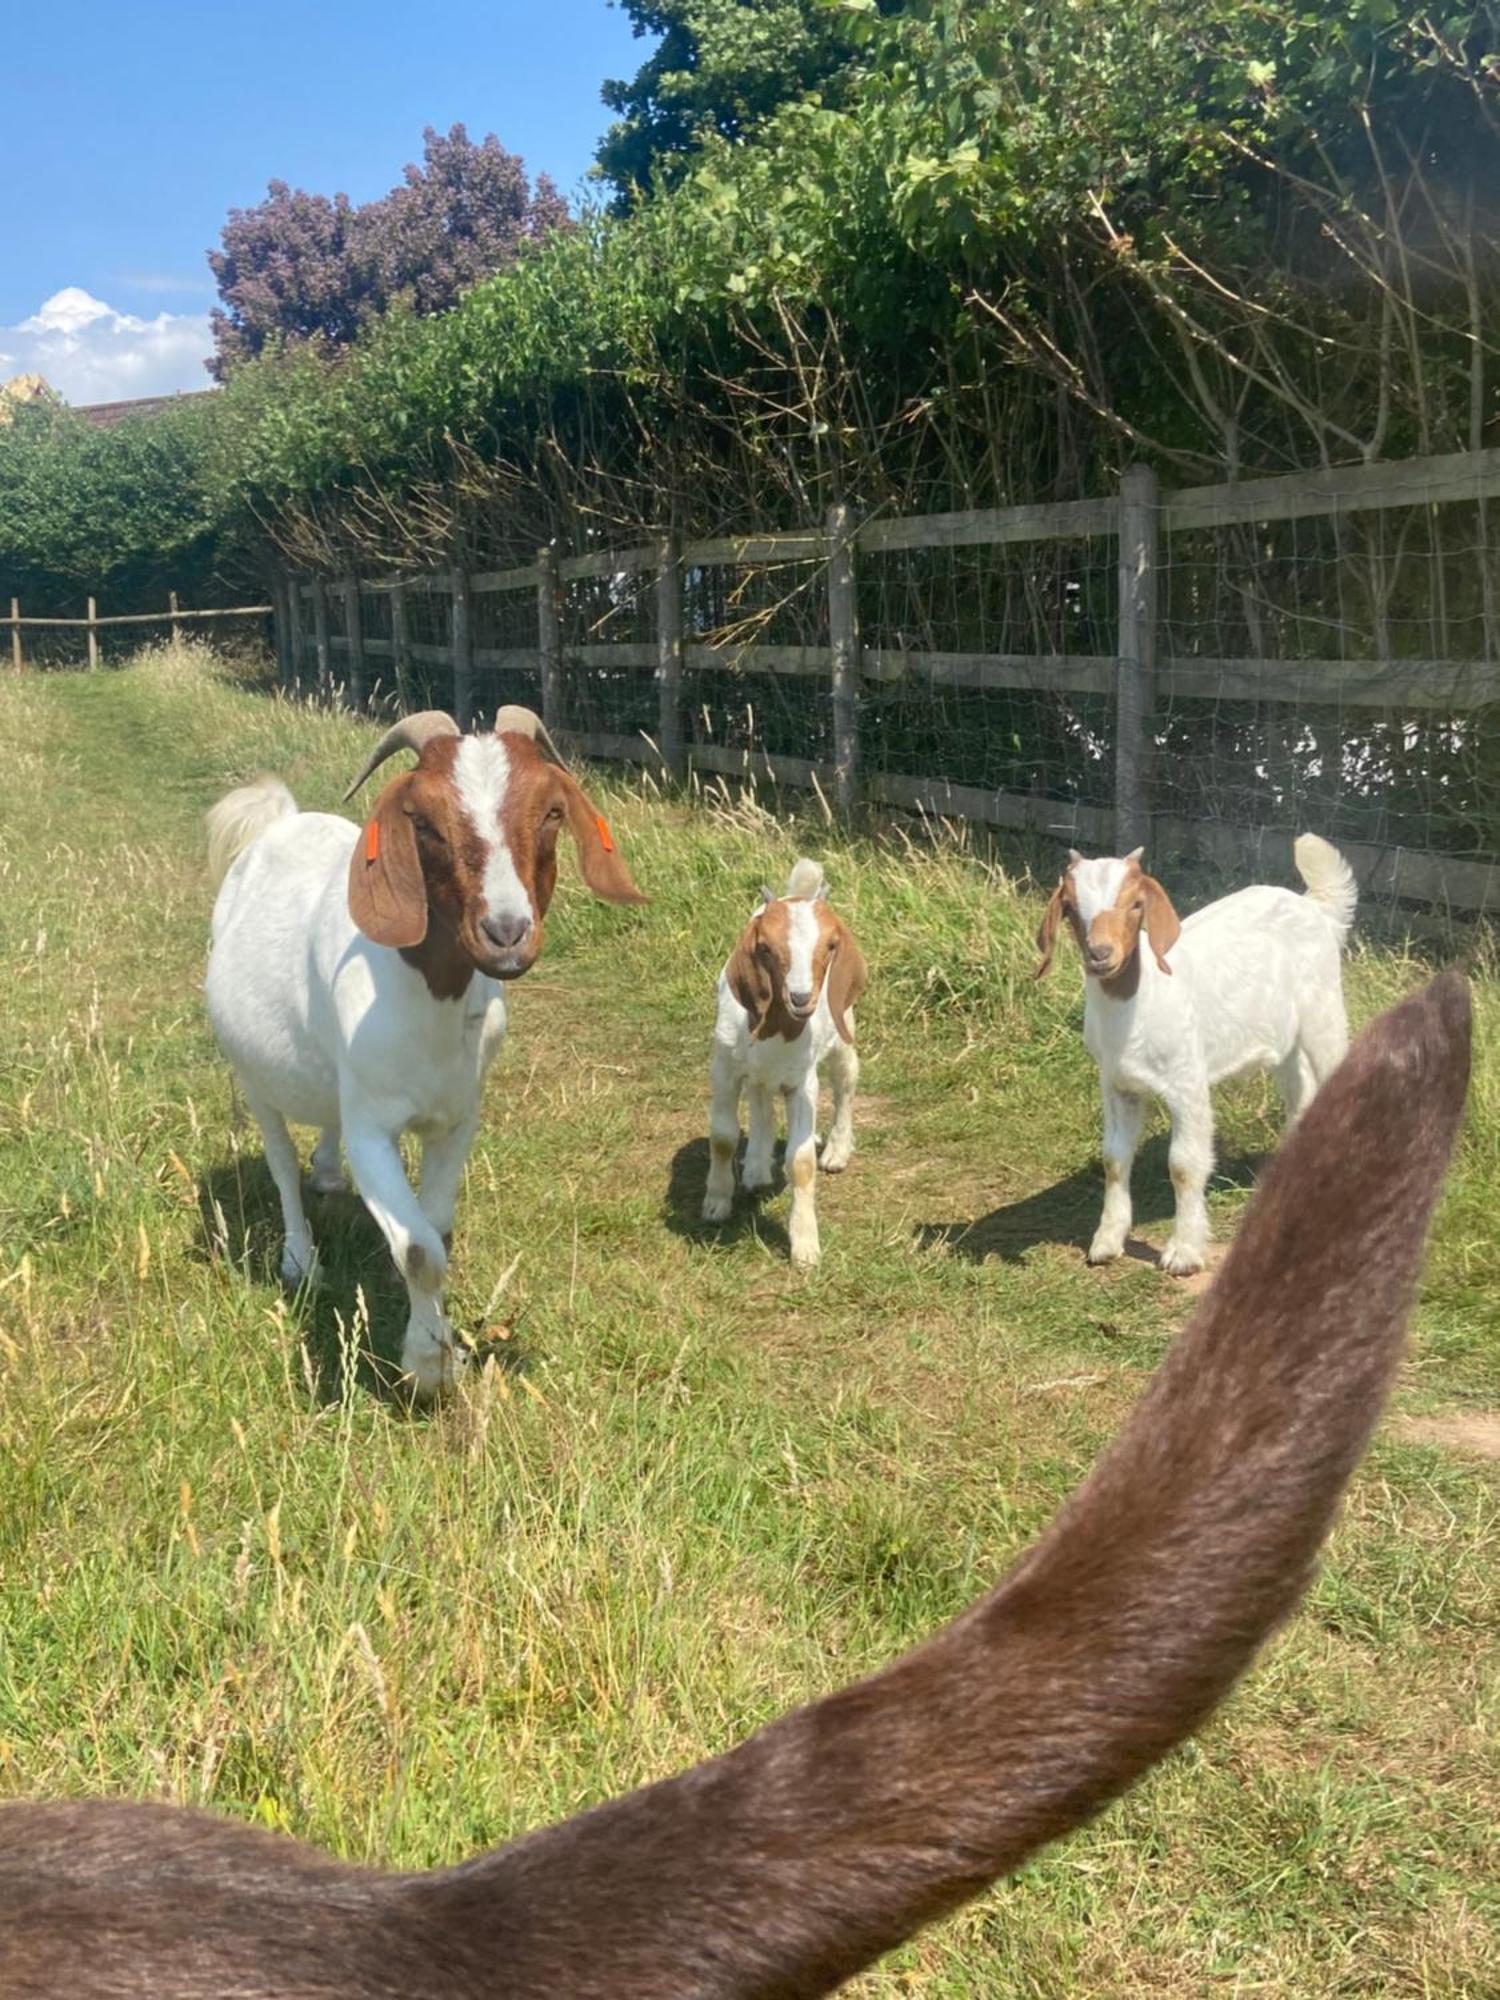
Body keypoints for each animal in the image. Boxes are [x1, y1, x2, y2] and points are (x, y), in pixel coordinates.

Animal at [204, 712, 648, 1400]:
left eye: (551, 811)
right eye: (425, 820)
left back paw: (326, 1174)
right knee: (279, 1162)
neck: (428, 1001)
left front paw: (435, 1343)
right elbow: (418, 1249)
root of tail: (282, 821)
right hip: (254, 1076)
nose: (506, 934)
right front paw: (427, 1367)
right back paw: (300, 1259)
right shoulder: (372, 1128)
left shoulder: (457, 1117)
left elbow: (433, 1230)